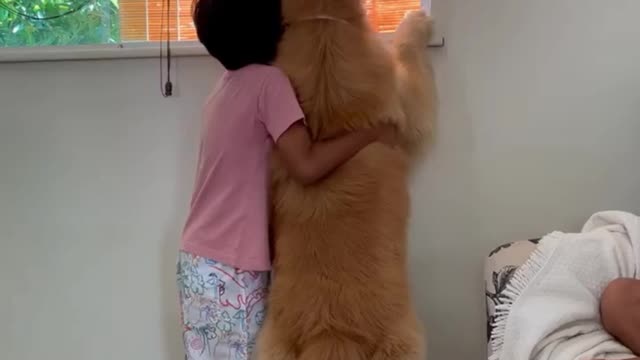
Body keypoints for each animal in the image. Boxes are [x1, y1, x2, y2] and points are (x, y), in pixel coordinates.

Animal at [258, 0, 438, 358]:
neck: (322, 22)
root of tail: (331, 333)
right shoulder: (408, 107)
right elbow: (407, 59)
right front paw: (415, 23)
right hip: (407, 340)